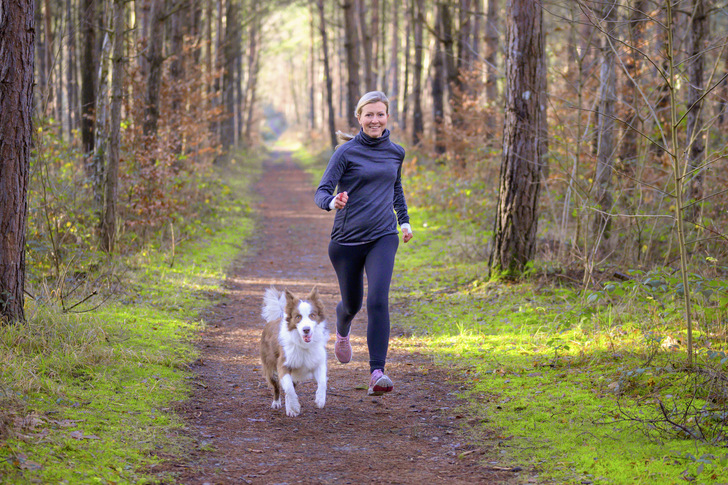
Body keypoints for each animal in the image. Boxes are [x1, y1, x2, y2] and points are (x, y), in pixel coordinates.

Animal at [260, 288, 328, 416]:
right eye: (298, 317)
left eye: (312, 315)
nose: (306, 330)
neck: (303, 345)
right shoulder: (283, 365)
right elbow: (289, 389)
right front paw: (295, 407)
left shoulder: (317, 362)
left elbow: (322, 382)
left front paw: (320, 399)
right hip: (270, 367)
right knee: (277, 387)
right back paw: (277, 403)